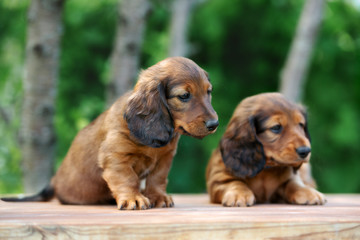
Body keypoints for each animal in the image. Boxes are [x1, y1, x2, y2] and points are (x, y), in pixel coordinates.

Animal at [3, 57, 219, 210]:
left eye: (209, 92)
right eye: (184, 96)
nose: (214, 124)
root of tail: (53, 183)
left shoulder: (165, 159)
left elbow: (157, 179)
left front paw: (158, 196)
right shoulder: (116, 157)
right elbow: (128, 178)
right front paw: (133, 198)